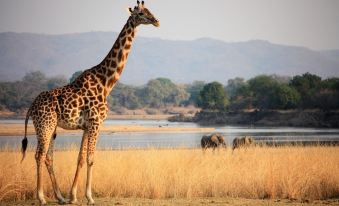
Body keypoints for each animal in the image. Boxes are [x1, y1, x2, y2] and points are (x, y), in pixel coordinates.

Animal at [20, 1, 160, 204]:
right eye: (141, 13)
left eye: (150, 10)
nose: (156, 21)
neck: (106, 82)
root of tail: (31, 106)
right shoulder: (96, 122)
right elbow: (91, 158)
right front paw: (89, 197)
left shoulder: (86, 126)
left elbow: (80, 158)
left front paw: (72, 196)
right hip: (44, 125)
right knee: (39, 155)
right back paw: (42, 198)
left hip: (52, 128)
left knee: (48, 157)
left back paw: (60, 197)